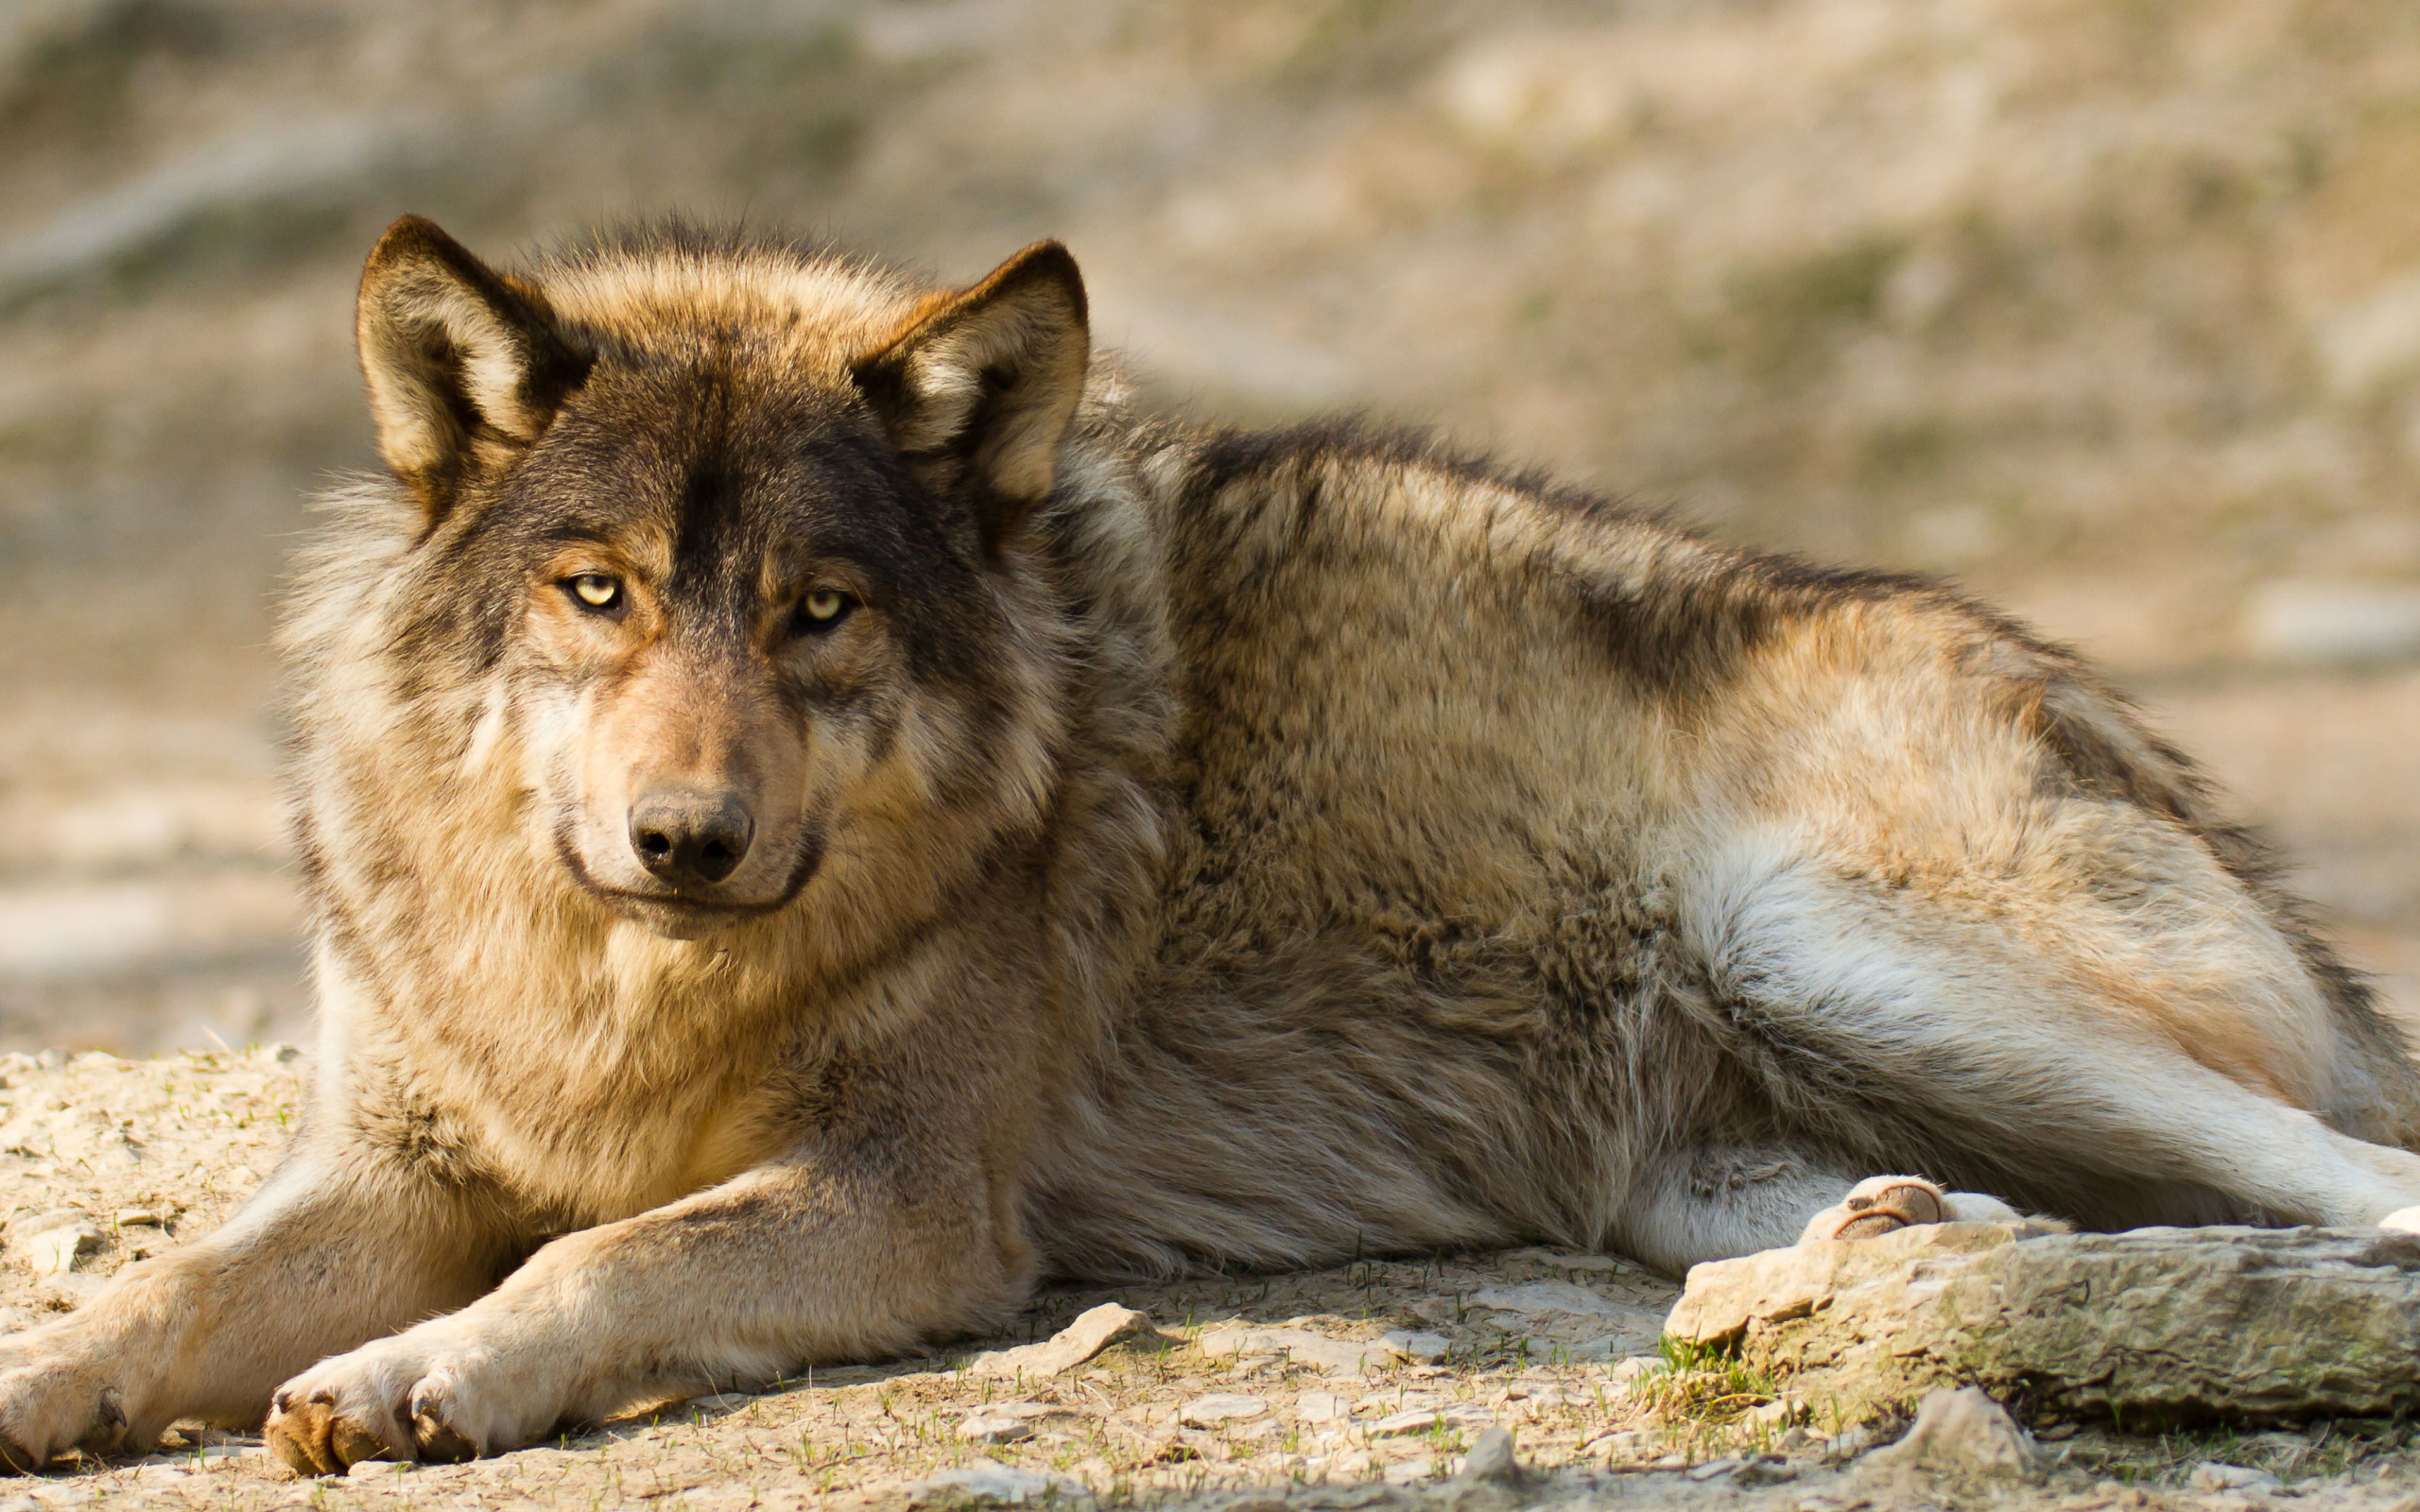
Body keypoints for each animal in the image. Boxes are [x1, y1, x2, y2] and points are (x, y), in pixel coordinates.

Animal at [5, 217, 2420, 1470]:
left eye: (819, 611)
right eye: (597, 592)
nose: (686, 835)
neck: (616, 989)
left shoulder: (907, 1200)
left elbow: (597, 1262)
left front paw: (415, 1371)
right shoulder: (384, 1164)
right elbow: (155, 1290)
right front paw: (59, 1381)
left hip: (1825, 935)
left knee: (2347, 1169)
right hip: (1686, 1150)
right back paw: (1893, 1248)